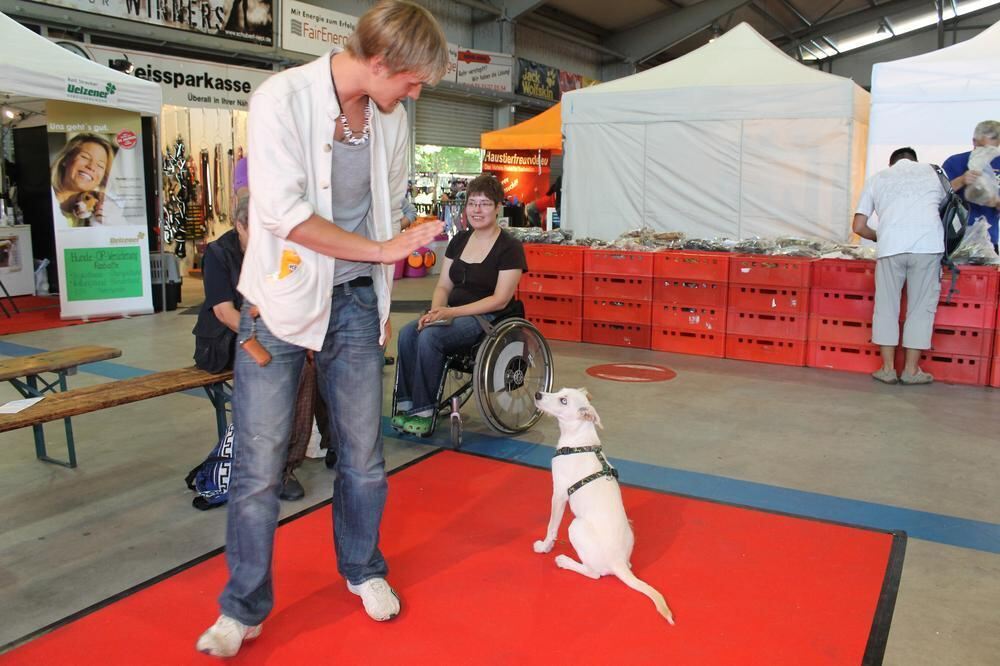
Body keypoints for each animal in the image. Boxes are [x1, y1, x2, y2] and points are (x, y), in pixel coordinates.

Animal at [532, 384, 672, 624]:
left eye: (563, 401)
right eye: (559, 391)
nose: (537, 394)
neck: (580, 441)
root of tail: (618, 563)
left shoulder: (558, 494)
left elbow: (551, 527)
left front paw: (544, 547)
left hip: (575, 526)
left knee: (594, 573)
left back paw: (565, 561)